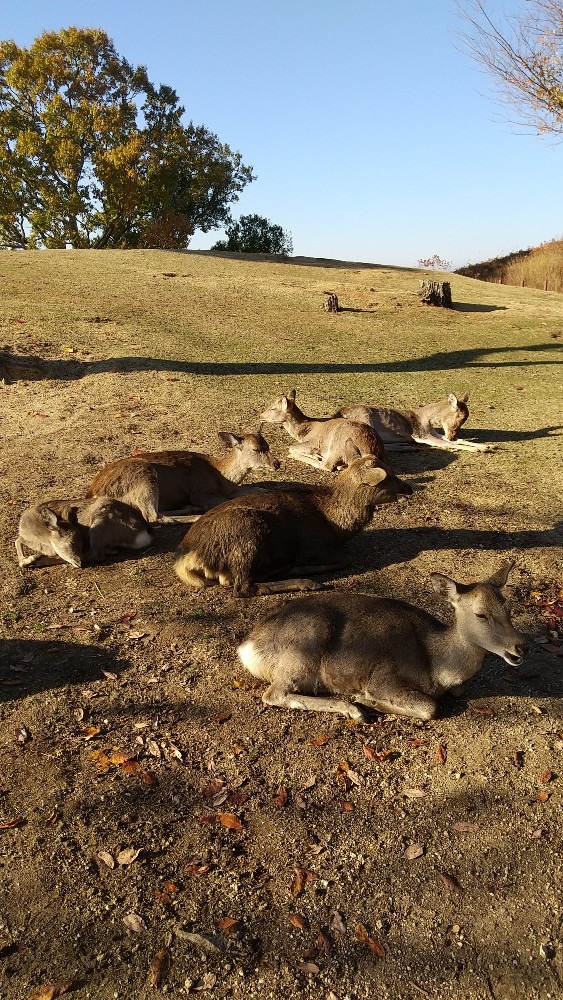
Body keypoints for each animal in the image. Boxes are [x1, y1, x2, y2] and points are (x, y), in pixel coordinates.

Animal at [15, 496, 152, 568]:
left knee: (96, 554)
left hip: (99, 524)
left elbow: (18, 541)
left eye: (79, 544)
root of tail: (144, 535)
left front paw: (31, 559)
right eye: (70, 543)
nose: (79, 562)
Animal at [87, 430, 280, 524]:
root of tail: (93, 493)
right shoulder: (201, 492)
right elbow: (226, 501)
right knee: (152, 516)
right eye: (256, 449)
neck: (222, 478)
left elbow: (258, 489)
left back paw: (190, 508)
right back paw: (197, 515)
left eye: (268, 445)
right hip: (143, 477)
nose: (277, 464)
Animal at [175, 442, 414, 596]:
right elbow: (345, 560)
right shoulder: (315, 546)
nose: (408, 488)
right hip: (249, 534)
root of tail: (187, 559)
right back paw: (303, 580)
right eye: (388, 477)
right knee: (242, 587)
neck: (338, 528)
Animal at [239, 564, 528, 720]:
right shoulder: (385, 678)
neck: (438, 669)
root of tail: (247, 646)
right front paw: (366, 699)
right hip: (303, 647)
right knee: (274, 694)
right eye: (481, 614)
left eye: (509, 607)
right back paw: (353, 709)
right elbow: (430, 707)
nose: (520, 647)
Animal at [332, 390, 496, 454]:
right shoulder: (420, 434)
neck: (425, 420)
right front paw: (480, 449)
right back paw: (408, 447)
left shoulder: (432, 432)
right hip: (365, 421)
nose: (452, 436)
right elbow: (448, 444)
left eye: (463, 421)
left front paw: (488, 446)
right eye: (458, 420)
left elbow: (457, 441)